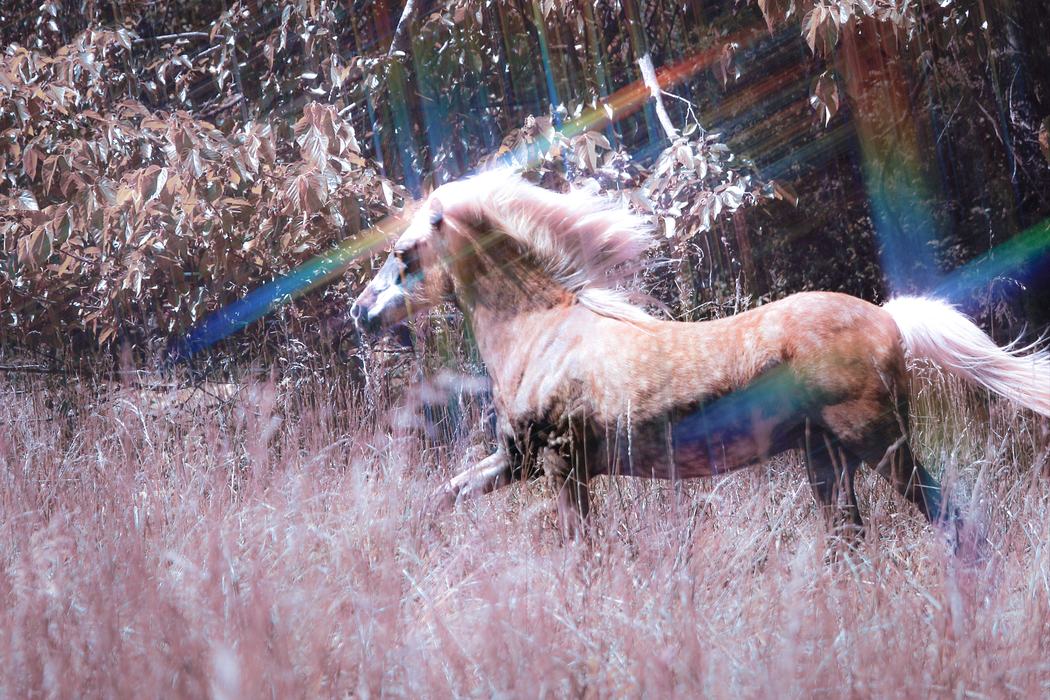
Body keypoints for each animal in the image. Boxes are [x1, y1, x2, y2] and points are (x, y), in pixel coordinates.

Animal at [350, 172, 1050, 540]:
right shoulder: (517, 460)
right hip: (827, 457)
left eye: (403, 253)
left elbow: (582, 549)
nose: (361, 311)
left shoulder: (559, 465)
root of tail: (888, 318)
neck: (541, 331)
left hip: (880, 442)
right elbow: (445, 495)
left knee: (954, 523)